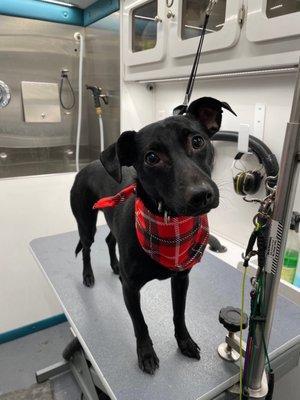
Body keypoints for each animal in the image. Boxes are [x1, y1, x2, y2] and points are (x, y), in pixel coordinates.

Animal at [71, 98, 236, 374]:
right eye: (151, 157)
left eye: (197, 141)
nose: (201, 195)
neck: (169, 225)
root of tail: (88, 165)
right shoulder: (131, 290)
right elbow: (140, 325)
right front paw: (146, 354)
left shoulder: (181, 279)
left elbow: (179, 315)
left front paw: (185, 342)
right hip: (86, 223)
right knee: (86, 248)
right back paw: (87, 275)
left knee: (109, 240)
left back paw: (115, 266)